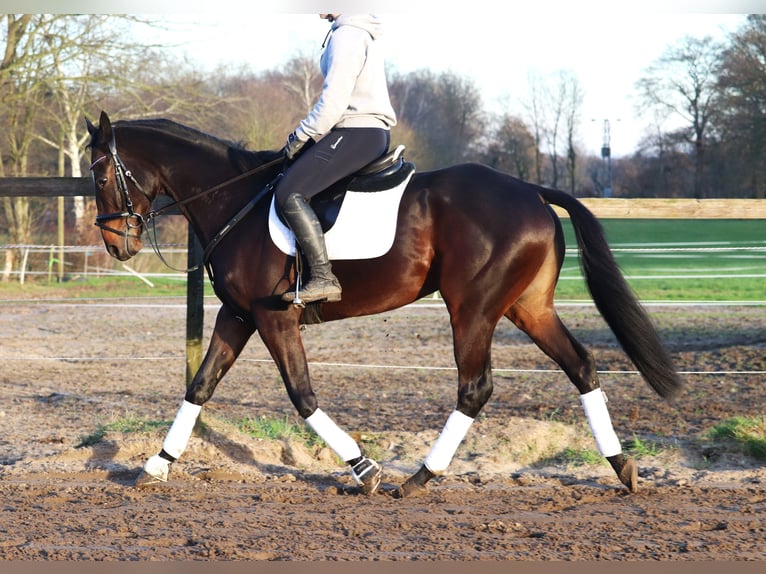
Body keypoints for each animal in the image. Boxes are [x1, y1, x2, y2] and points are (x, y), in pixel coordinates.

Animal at [85, 112, 684, 500]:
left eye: (99, 173)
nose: (116, 245)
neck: (235, 199)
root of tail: (532, 191)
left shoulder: (275, 317)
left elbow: (302, 396)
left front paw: (364, 469)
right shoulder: (239, 315)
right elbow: (200, 386)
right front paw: (155, 467)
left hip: (473, 308)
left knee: (475, 387)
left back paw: (418, 479)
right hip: (526, 307)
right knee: (580, 365)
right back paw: (623, 468)